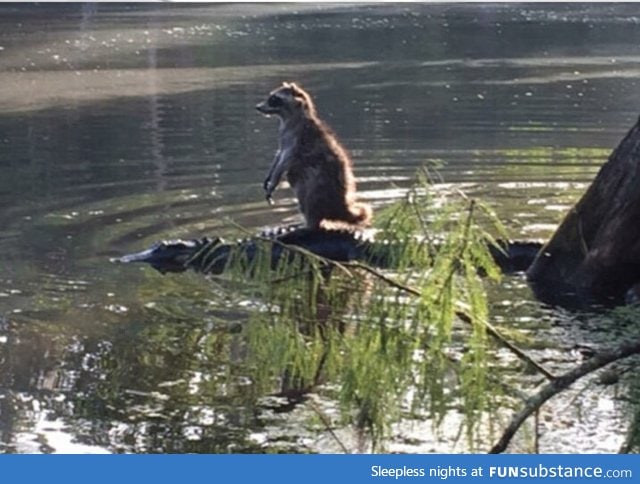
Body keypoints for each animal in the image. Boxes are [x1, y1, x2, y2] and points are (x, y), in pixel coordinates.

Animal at [258, 81, 372, 229]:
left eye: (273, 99)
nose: (257, 107)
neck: (288, 117)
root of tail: (340, 207)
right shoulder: (284, 136)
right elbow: (279, 154)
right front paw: (269, 174)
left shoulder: (296, 137)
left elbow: (285, 159)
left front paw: (274, 181)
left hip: (319, 185)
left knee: (308, 196)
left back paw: (309, 223)